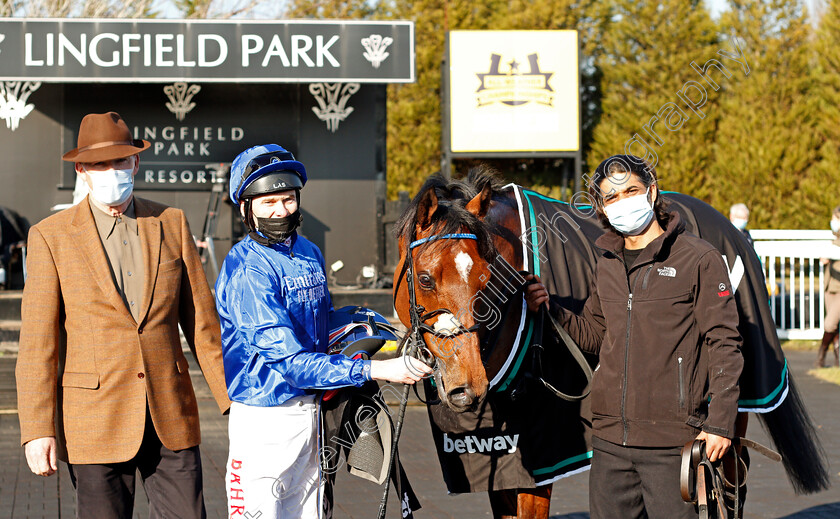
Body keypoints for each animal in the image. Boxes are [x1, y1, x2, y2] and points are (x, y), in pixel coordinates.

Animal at [390, 169, 832, 516]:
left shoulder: (544, 457)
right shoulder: (502, 462)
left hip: (729, 413)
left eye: (488, 279)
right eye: (425, 278)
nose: (467, 387)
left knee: (727, 481)